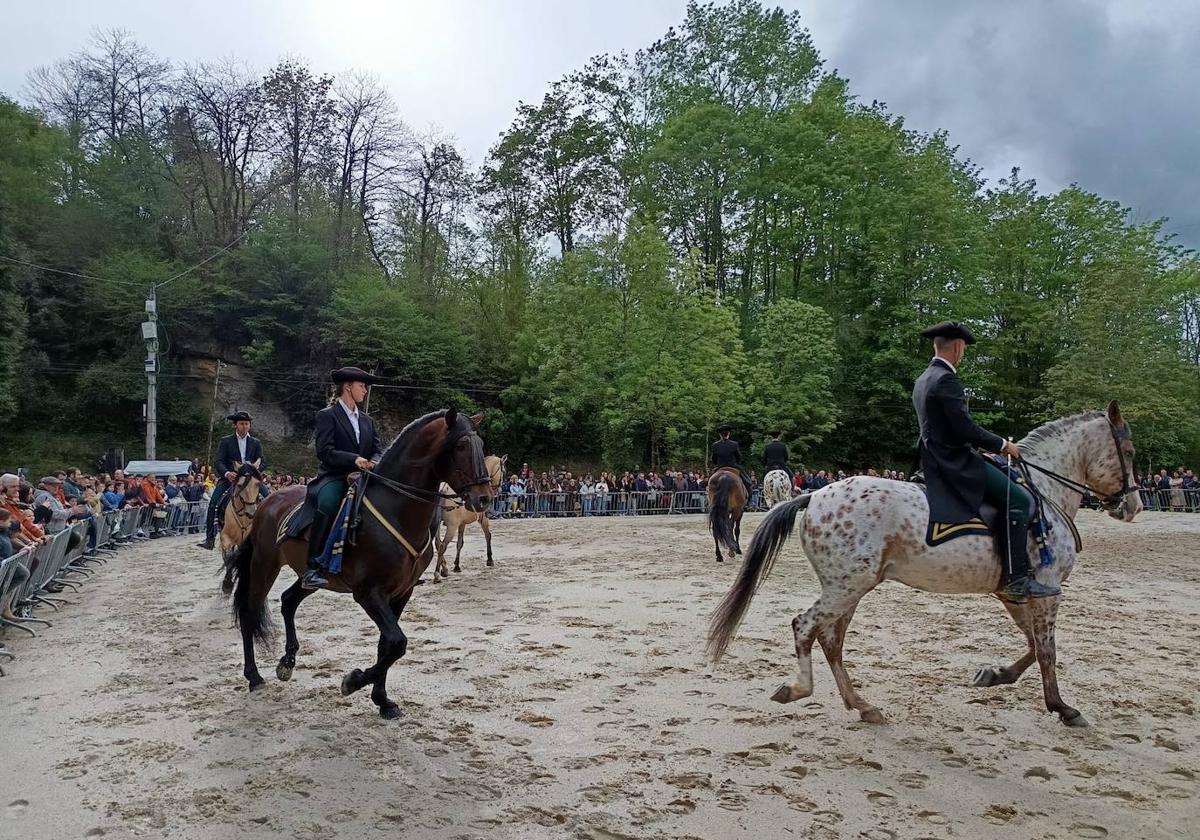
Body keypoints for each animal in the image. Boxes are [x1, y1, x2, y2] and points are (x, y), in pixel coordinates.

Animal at [223, 410, 489, 720]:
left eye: (481, 446)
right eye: (461, 446)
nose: (484, 497)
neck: (396, 509)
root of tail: (266, 502)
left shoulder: (401, 593)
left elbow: (388, 645)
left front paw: (383, 701)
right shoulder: (368, 593)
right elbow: (397, 643)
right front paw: (352, 682)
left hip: (309, 576)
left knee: (288, 601)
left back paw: (287, 662)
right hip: (264, 565)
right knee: (249, 613)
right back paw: (254, 676)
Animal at [710, 403, 1142, 724]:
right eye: (1130, 453)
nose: (1133, 506)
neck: (1045, 491)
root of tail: (813, 496)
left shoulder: (1016, 592)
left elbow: (1034, 646)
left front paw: (995, 676)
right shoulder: (1048, 590)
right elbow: (1047, 650)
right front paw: (1062, 708)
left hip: (850, 587)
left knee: (830, 639)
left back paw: (862, 706)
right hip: (846, 586)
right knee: (805, 626)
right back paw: (800, 689)